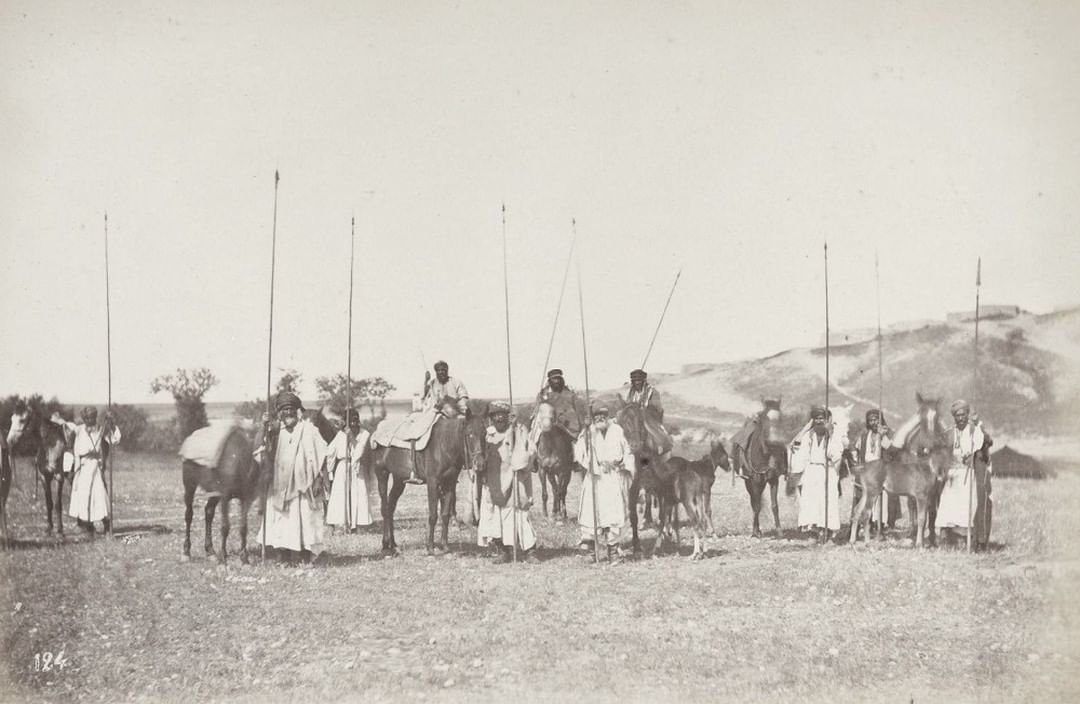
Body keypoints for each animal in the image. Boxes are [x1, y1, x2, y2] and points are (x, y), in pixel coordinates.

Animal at [6, 403, 76, 535]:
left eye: (22, 420)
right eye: (11, 419)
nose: (9, 441)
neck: (49, 446)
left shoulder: (59, 477)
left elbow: (58, 504)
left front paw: (60, 529)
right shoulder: (44, 477)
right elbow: (49, 503)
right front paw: (49, 528)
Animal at [180, 423, 260, 565]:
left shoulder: (245, 498)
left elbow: (243, 528)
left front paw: (244, 559)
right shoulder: (225, 496)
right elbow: (225, 527)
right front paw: (223, 559)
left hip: (214, 494)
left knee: (208, 512)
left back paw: (210, 552)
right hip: (189, 485)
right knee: (189, 514)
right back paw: (186, 553)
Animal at [373, 405, 488, 557]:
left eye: (485, 434)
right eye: (469, 434)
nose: (480, 464)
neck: (444, 445)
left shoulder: (449, 483)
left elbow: (445, 515)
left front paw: (445, 547)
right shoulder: (433, 483)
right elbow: (433, 515)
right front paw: (430, 548)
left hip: (399, 480)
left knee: (390, 507)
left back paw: (394, 545)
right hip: (382, 474)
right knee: (385, 508)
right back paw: (385, 546)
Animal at [730, 401, 790, 539]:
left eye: (781, 417)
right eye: (764, 418)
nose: (776, 441)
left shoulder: (773, 480)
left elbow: (774, 505)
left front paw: (779, 531)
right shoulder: (754, 481)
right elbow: (756, 506)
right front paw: (755, 532)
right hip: (749, 482)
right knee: (754, 502)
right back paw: (756, 530)